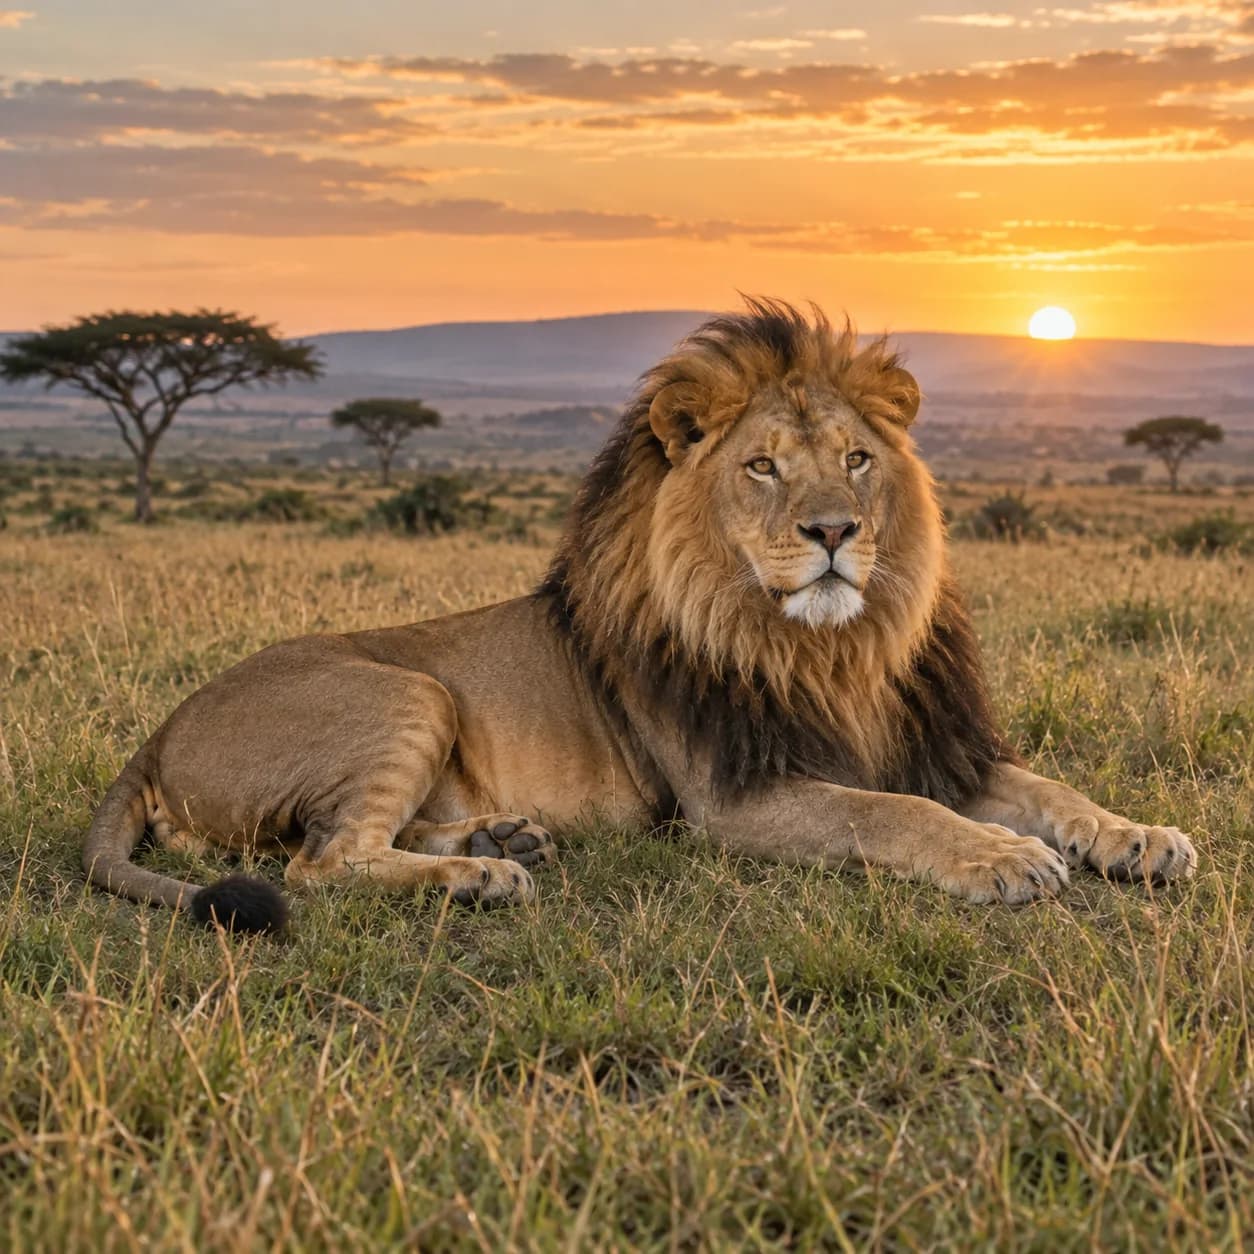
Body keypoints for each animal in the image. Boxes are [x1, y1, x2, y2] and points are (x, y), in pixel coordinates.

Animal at [83, 299, 1197, 932]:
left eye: (856, 459)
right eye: (762, 467)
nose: (835, 530)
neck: (833, 650)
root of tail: (156, 734)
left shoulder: (935, 744)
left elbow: (1052, 788)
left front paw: (1139, 838)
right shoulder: (732, 796)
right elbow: (891, 813)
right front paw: (1005, 860)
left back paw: (500, 839)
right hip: (409, 690)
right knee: (318, 861)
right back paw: (479, 880)